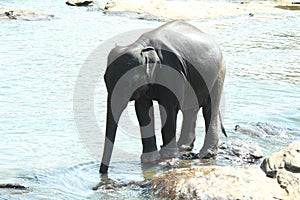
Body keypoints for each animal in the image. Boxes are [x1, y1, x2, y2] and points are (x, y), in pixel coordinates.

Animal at [99, 19, 226, 173]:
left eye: (127, 84)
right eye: (105, 80)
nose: (102, 172)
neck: (142, 46)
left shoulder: (171, 72)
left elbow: (168, 106)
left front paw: (167, 156)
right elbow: (142, 108)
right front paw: (149, 159)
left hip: (218, 73)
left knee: (210, 108)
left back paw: (206, 154)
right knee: (190, 109)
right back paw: (183, 147)